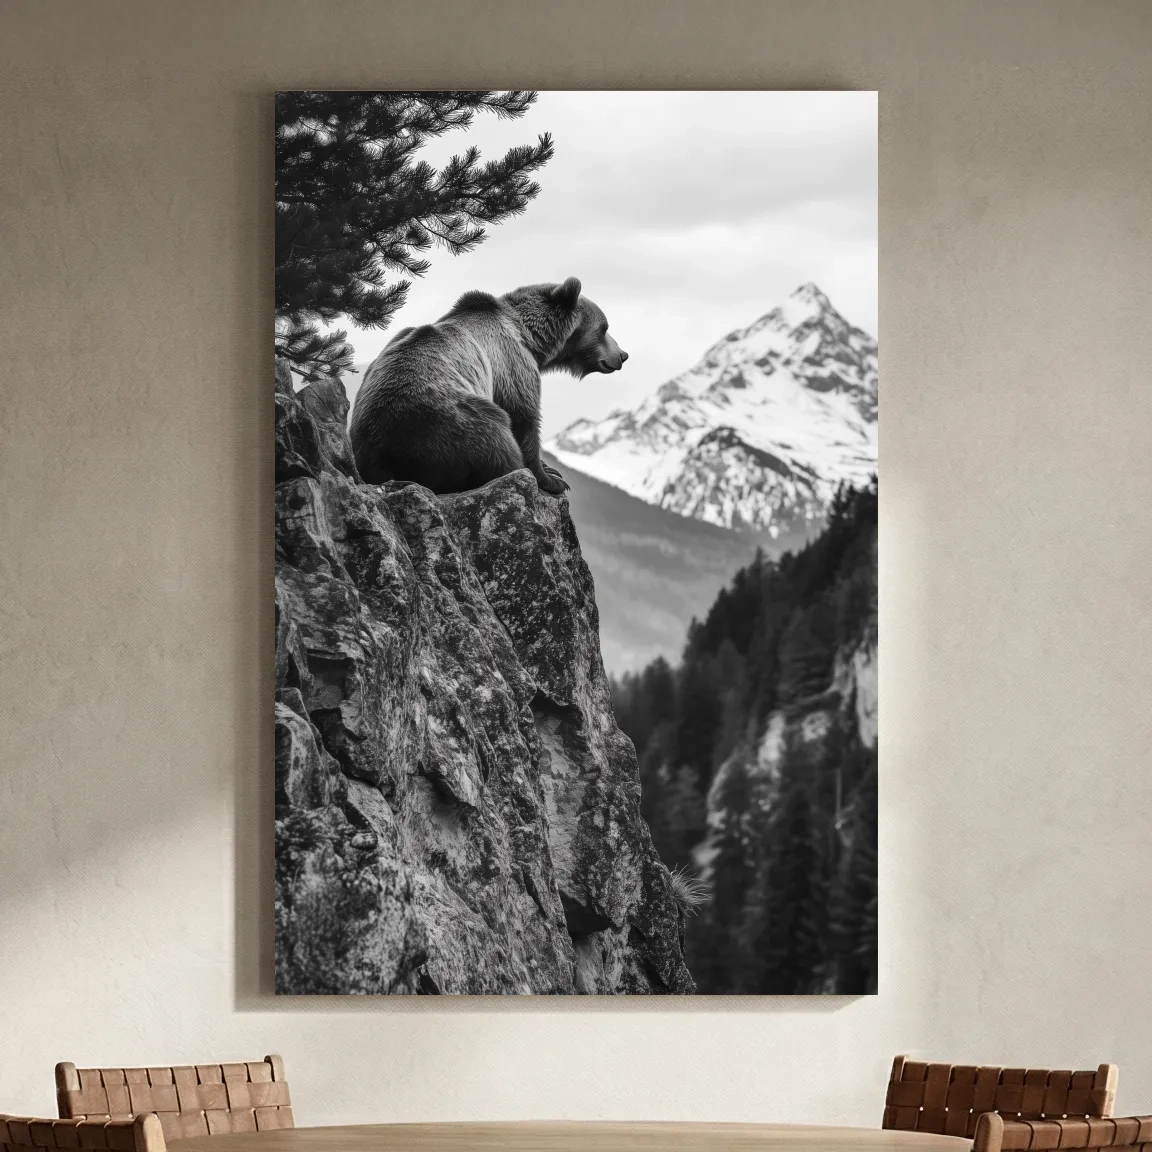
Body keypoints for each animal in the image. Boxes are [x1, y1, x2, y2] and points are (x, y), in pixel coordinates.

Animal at [348, 277, 627, 496]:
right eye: (604, 328)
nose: (622, 355)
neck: (531, 339)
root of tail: (382, 456)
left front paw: (550, 470)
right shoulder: (512, 363)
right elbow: (524, 416)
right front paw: (552, 478)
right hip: (450, 422)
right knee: (496, 439)